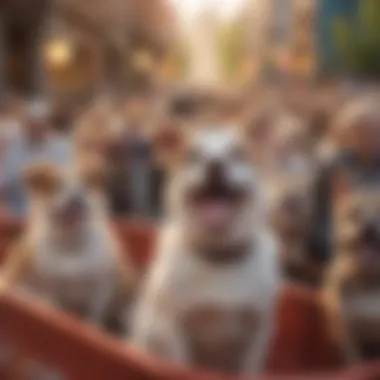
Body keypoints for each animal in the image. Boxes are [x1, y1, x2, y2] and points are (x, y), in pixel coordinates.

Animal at [0, 156, 135, 334]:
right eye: (57, 186)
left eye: (85, 185)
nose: (76, 197)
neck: (70, 244)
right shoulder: (49, 288)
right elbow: (53, 305)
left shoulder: (99, 291)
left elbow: (93, 316)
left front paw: (92, 328)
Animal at [133, 125, 280, 374]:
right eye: (193, 156)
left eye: (238, 153)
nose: (215, 164)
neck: (218, 257)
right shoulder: (175, 330)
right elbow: (182, 365)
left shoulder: (257, 332)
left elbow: (250, 370)